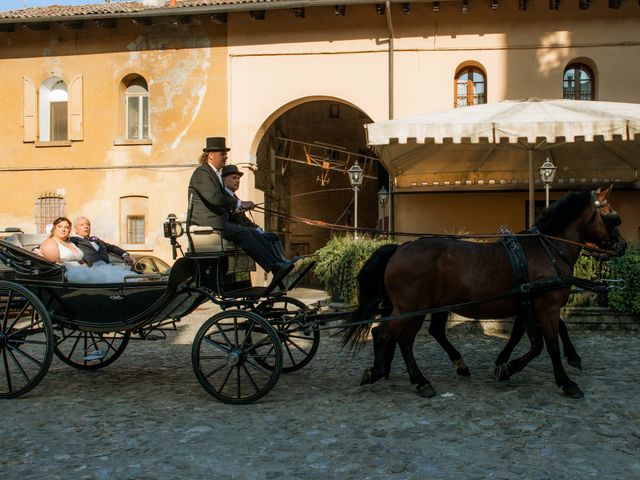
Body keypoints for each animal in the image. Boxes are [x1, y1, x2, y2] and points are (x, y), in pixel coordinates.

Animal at [342, 187, 628, 398]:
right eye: (611, 216)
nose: (623, 245)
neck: (547, 248)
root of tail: (400, 249)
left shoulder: (530, 306)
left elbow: (536, 342)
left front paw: (508, 366)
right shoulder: (546, 306)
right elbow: (550, 344)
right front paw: (566, 381)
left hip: (419, 307)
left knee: (408, 338)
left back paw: (413, 374)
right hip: (412, 308)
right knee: (385, 334)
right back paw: (394, 374)